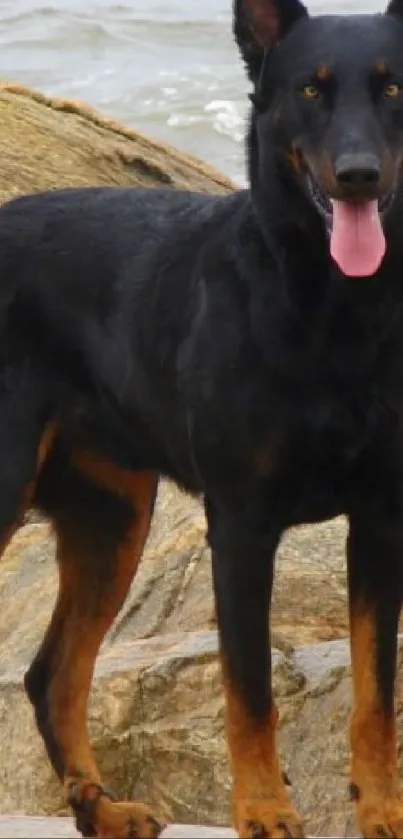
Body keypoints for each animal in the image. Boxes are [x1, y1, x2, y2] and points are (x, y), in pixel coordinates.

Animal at [0, 0, 403, 836]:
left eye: (391, 88)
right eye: (310, 91)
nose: (358, 174)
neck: (326, 310)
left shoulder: (381, 519)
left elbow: (375, 694)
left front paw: (383, 810)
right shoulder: (242, 526)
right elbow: (249, 695)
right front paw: (264, 811)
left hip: (112, 520)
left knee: (52, 674)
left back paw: (102, 810)